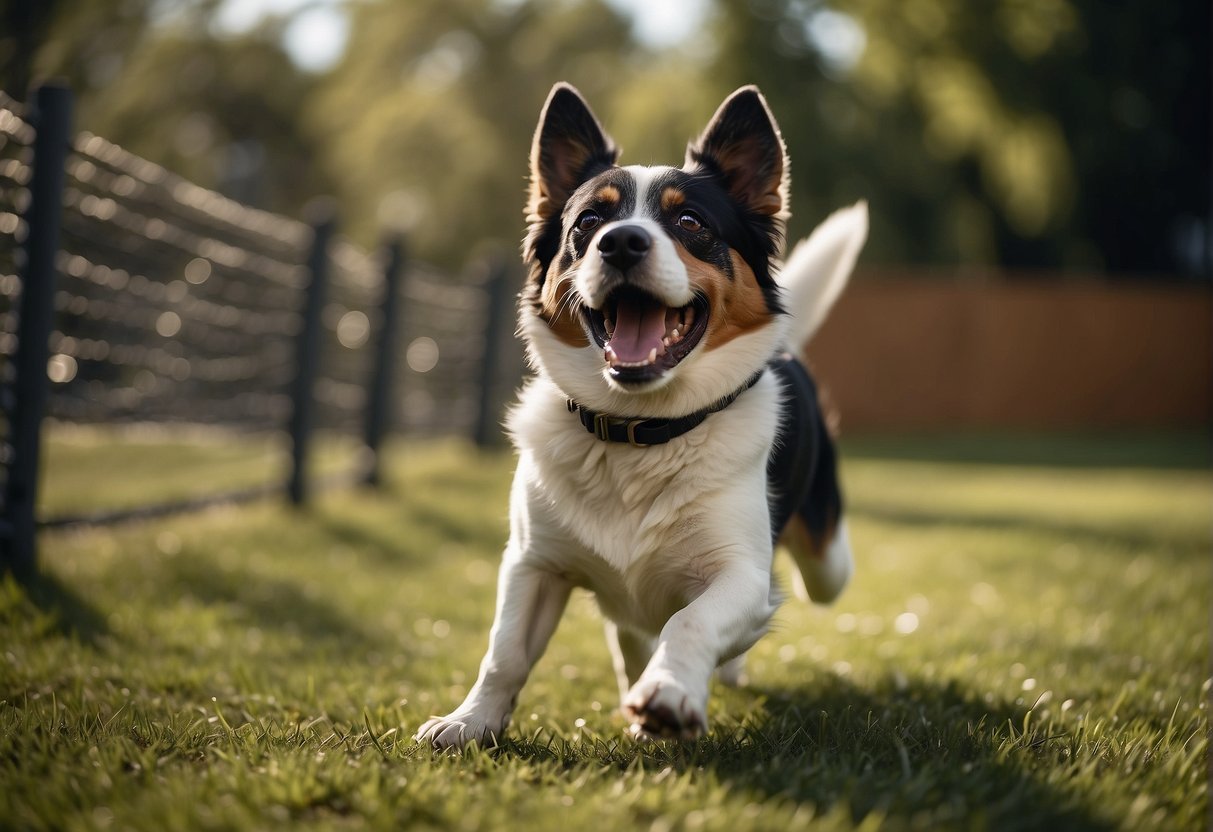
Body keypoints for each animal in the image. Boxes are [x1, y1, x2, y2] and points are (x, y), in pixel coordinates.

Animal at [412, 83, 868, 751]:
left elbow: (691, 621)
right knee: (630, 636)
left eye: (689, 222)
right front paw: (471, 721)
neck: (639, 433)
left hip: (825, 563)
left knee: (816, 574)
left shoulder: (739, 575)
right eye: (588, 222)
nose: (621, 242)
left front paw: (670, 694)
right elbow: (505, 653)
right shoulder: (531, 564)